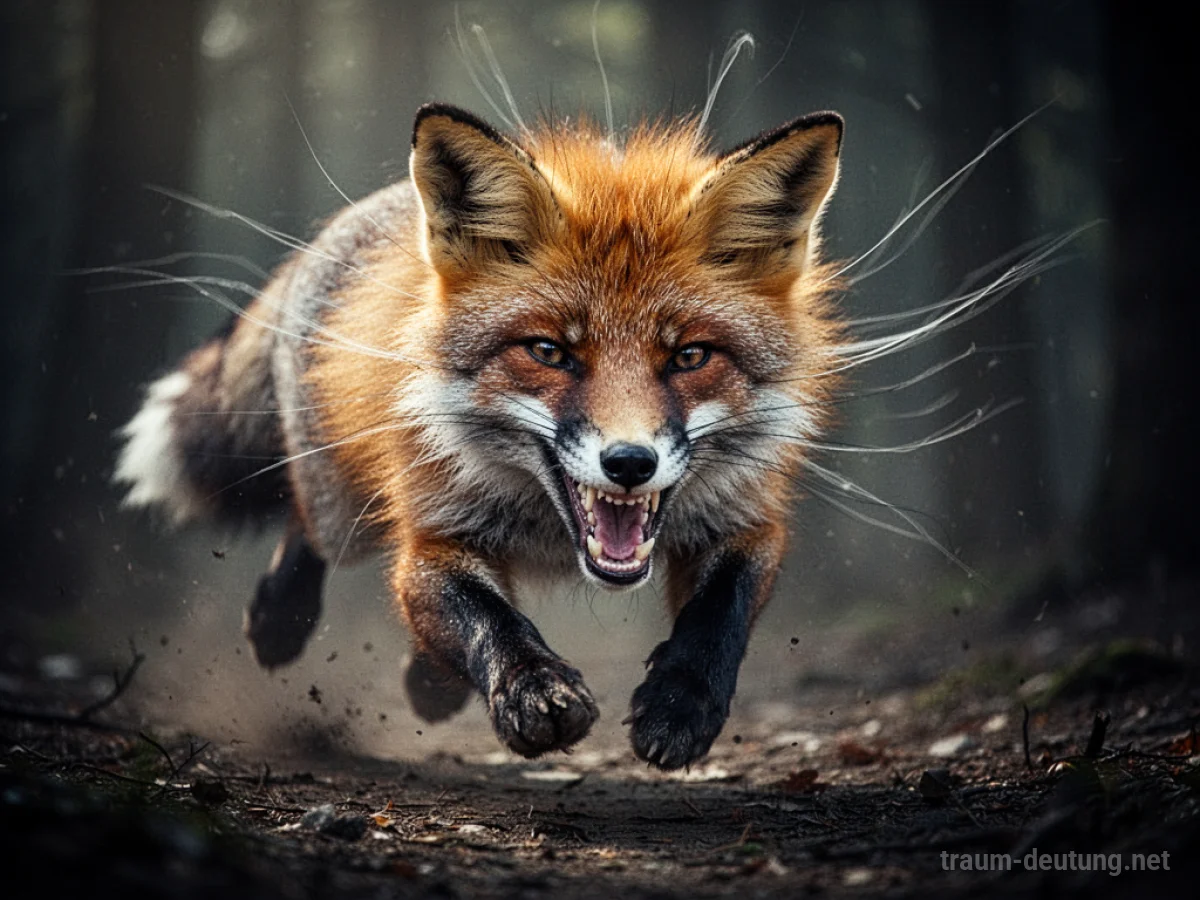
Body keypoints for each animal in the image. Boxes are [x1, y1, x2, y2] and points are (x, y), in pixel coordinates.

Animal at [113, 102, 846, 770]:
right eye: (550, 352)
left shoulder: (743, 518)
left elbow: (720, 613)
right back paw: (279, 619)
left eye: (690, 356)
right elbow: (487, 618)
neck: (551, 532)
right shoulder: (432, 535)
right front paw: (533, 691)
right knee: (311, 524)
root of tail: (364, 213)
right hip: (343, 506)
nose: (630, 462)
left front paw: (680, 704)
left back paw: (426, 681)